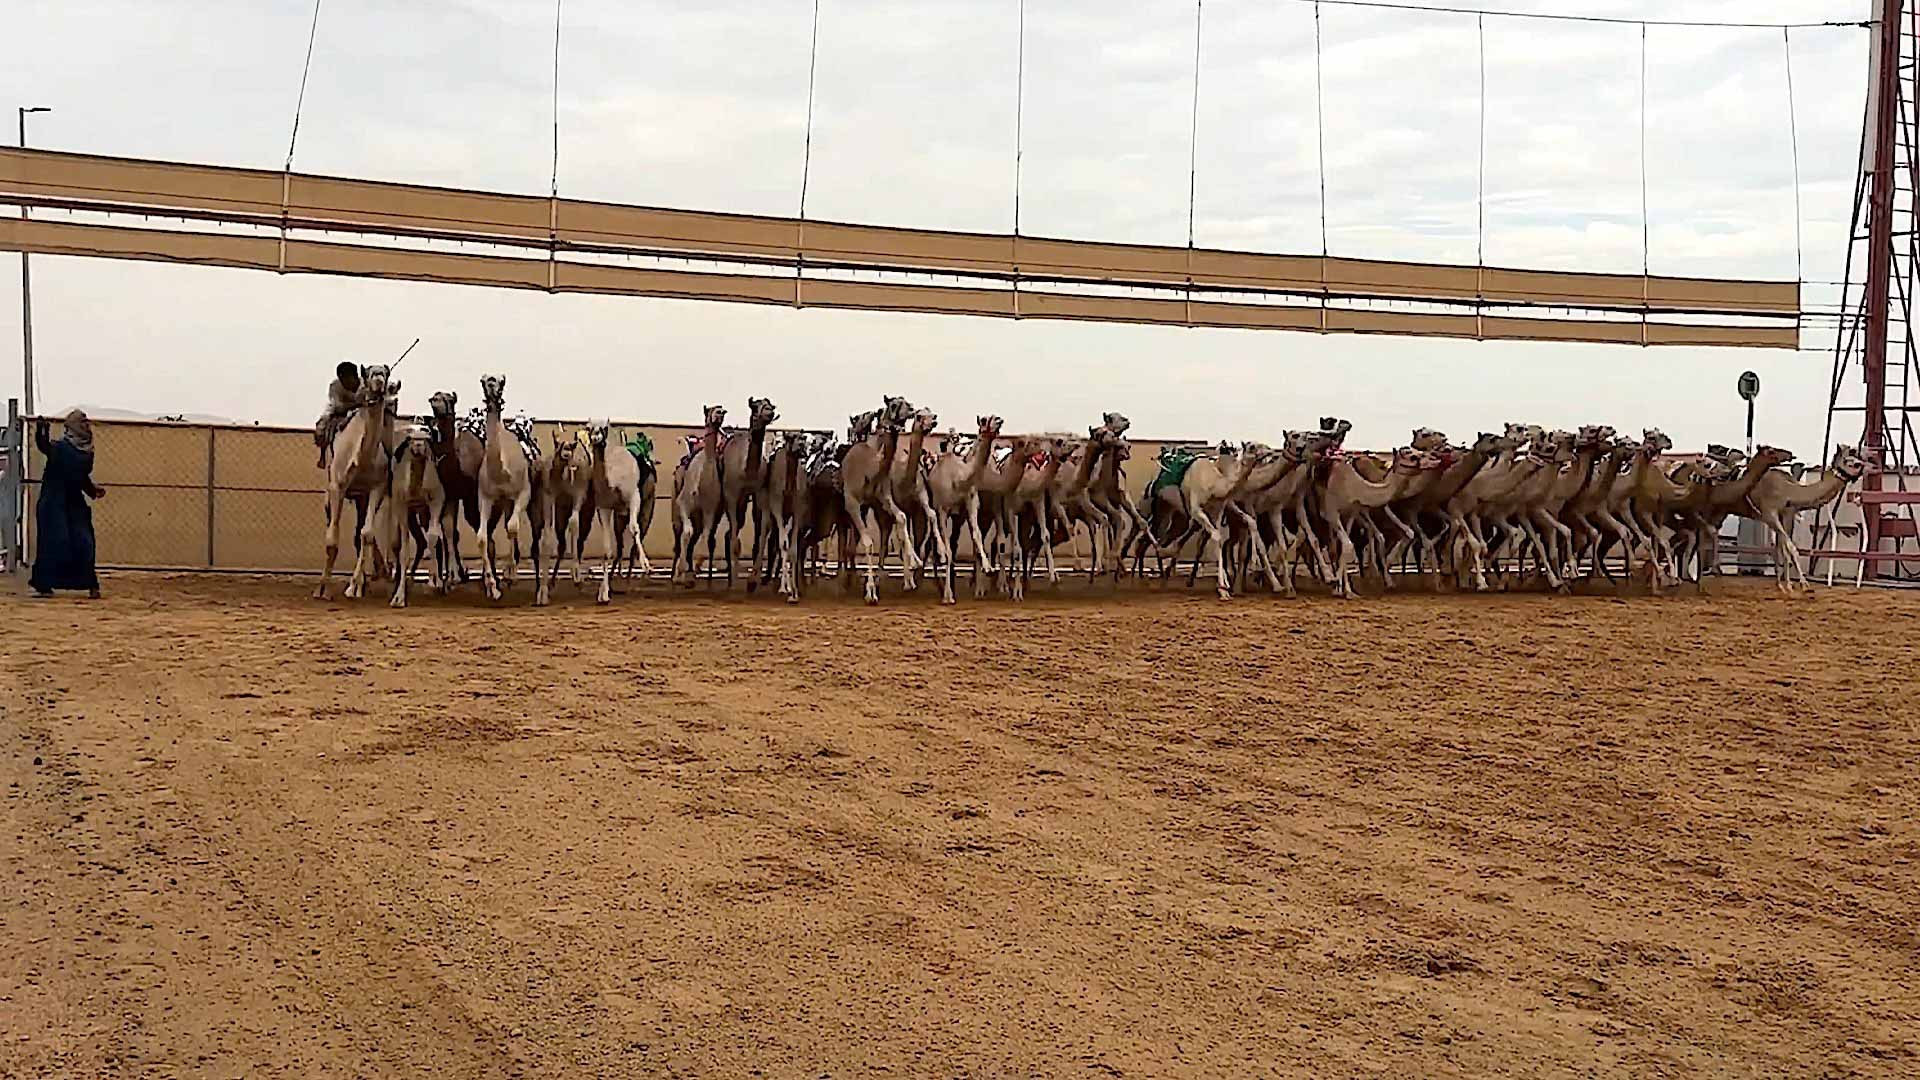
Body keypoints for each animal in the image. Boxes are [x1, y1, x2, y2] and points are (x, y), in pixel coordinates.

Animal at [314, 361, 397, 595]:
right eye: (368, 373)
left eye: (386, 373)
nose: (379, 380)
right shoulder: (337, 487)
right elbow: (332, 539)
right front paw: (323, 588)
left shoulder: (376, 489)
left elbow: (366, 534)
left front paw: (355, 586)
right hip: (331, 495)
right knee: (331, 523)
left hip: (362, 498)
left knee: (360, 533)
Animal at [389, 420, 449, 607]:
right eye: (409, 438)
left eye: (426, 434)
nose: (418, 444)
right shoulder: (401, 505)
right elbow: (403, 551)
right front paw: (398, 597)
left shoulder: (437, 499)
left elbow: (434, 538)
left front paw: (434, 583)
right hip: (413, 513)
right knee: (413, 541)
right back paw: (407, 578)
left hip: (425, 511)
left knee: (433, 538)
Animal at [474, 374, 541, 599]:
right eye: (484, 380)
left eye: (501, 380)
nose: (492, 388)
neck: (501, 472)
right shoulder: (486, 497)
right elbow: (482, 538)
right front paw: (492, 587)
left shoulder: (523, 493)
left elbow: (512, 527)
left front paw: (511, 575)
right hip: (503, 502)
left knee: (515, 525)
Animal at [679, 405, 729, 588]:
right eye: (710, 410)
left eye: (722, 409)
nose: (719, 413)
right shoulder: (683, 505)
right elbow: (686, 532)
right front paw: (680, 573)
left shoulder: (710, 512)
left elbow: (706, 537)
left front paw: (695, 568)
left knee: (704, 538)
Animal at [1751, 440, 1866, 584]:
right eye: (1853, 463)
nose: (1866, 466)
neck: (1789, 491)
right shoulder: (1771, 514)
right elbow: (1788, 547)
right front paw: (1801, 583)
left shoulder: (1788, 514)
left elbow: (1781, 547)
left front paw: (1784, 583)